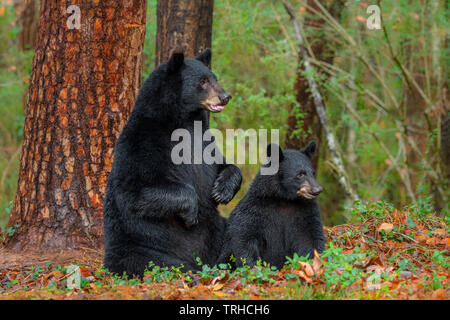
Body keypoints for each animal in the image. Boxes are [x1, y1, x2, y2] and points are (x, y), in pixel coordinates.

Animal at [103, 48, 243, 276]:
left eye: (214, 78)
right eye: (203, 81)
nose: (225, 96)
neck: (185, 121)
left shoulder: (205, 142)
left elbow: (224, 165)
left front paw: (221, 191)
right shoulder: (142, 143)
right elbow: (137, 190)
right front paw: (192, 212)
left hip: (219, 230)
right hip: (141, 247)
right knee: (151, 262)